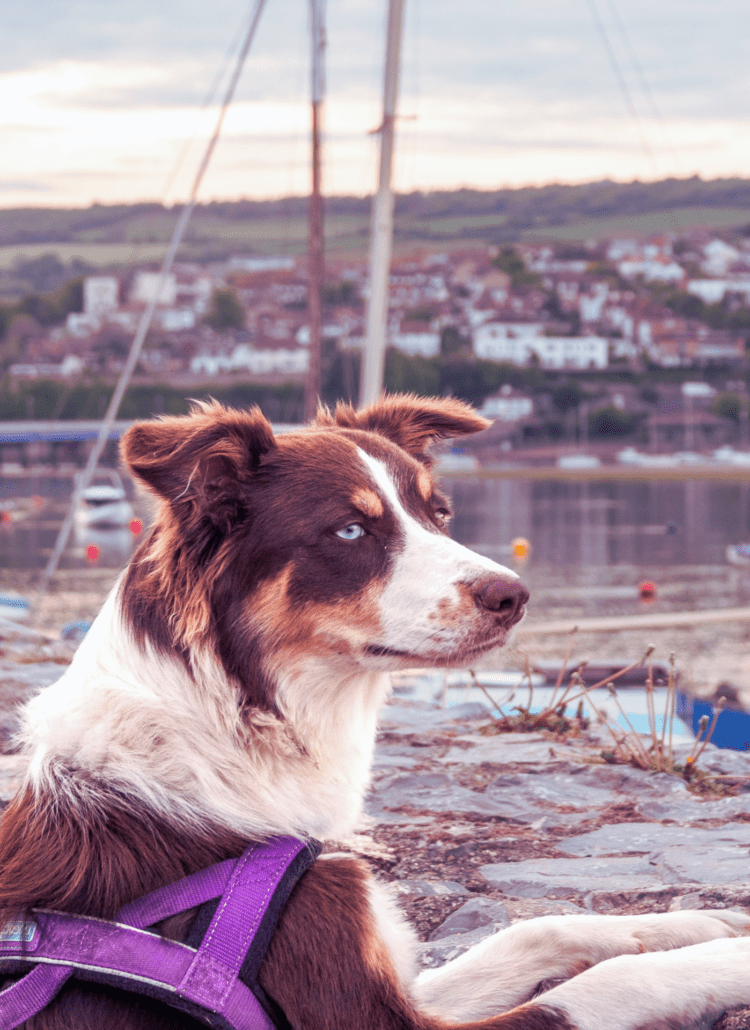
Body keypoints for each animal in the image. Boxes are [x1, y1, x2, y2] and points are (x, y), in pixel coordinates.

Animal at [1, 395, 750, 1030]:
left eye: (438, 514)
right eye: (351, 529)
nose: (513, 595)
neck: (230, 728)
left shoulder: (400, 977)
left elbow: (533, 931)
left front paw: (689, 926)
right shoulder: (366, 1012)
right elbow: (597, 988)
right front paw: (725, 959)